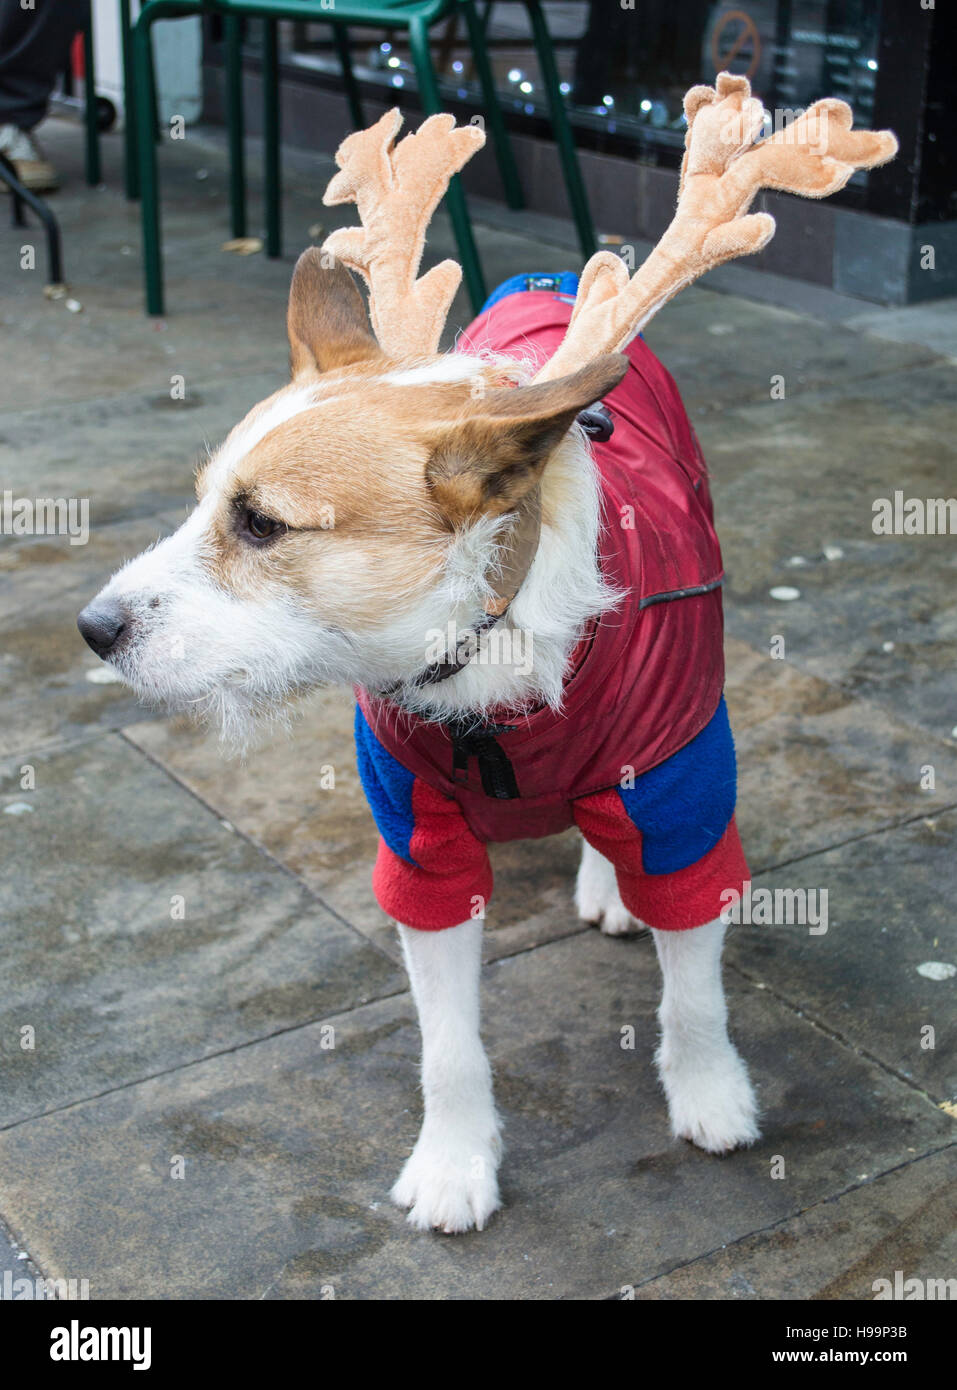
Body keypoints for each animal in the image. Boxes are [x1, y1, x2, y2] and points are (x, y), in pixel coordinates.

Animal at [76, 81, 895, 1234]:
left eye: (263, 524)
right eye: (202, 503)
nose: (93, 628)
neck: (483, 645)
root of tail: (544, 284)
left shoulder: (680, 790)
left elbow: (694, 985)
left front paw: (710, 1093)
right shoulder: (422, 850)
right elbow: (448, 1045)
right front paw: (456, 1162)